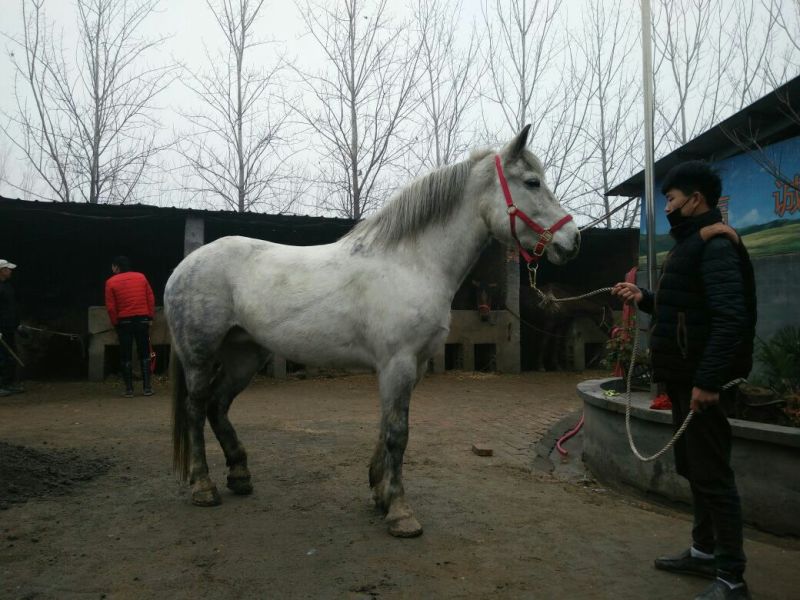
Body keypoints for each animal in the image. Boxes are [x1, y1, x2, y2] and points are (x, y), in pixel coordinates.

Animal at [164, 125, 581, 538]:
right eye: (532, 182)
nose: (573, 240)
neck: (411, 263)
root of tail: (185, 265)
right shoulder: (398, 363)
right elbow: (398, 432)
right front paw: (399, 512)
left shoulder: (411, 366)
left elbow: (386, 428)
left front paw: (379, 492)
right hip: (200, 356)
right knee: (196, 408)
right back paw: (203, 487)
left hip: (245, 355)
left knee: (218, 405)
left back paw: (240, 475)